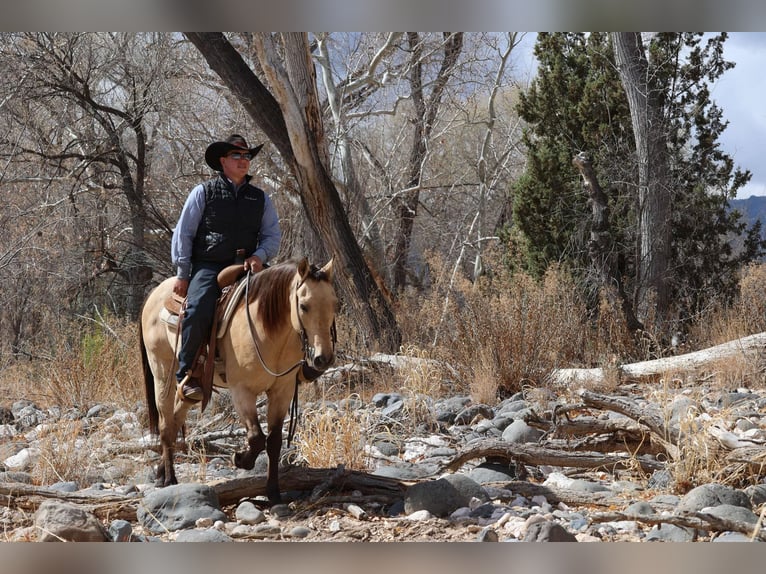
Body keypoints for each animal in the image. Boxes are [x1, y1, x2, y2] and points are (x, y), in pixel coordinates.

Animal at [138, 257, 337, 503]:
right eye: (304, 306)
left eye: (335, 304)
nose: (323, 358)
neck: (266, 329)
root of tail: (154, 294)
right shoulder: (242, 391)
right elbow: (257, 437)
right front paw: (241, 459)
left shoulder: (282, 391)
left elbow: (273, 442)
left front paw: (273, 492)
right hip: (162, 372)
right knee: (166, 424)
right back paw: (169, 479)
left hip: (187, 388)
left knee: (176, 418)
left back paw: (160, 472)